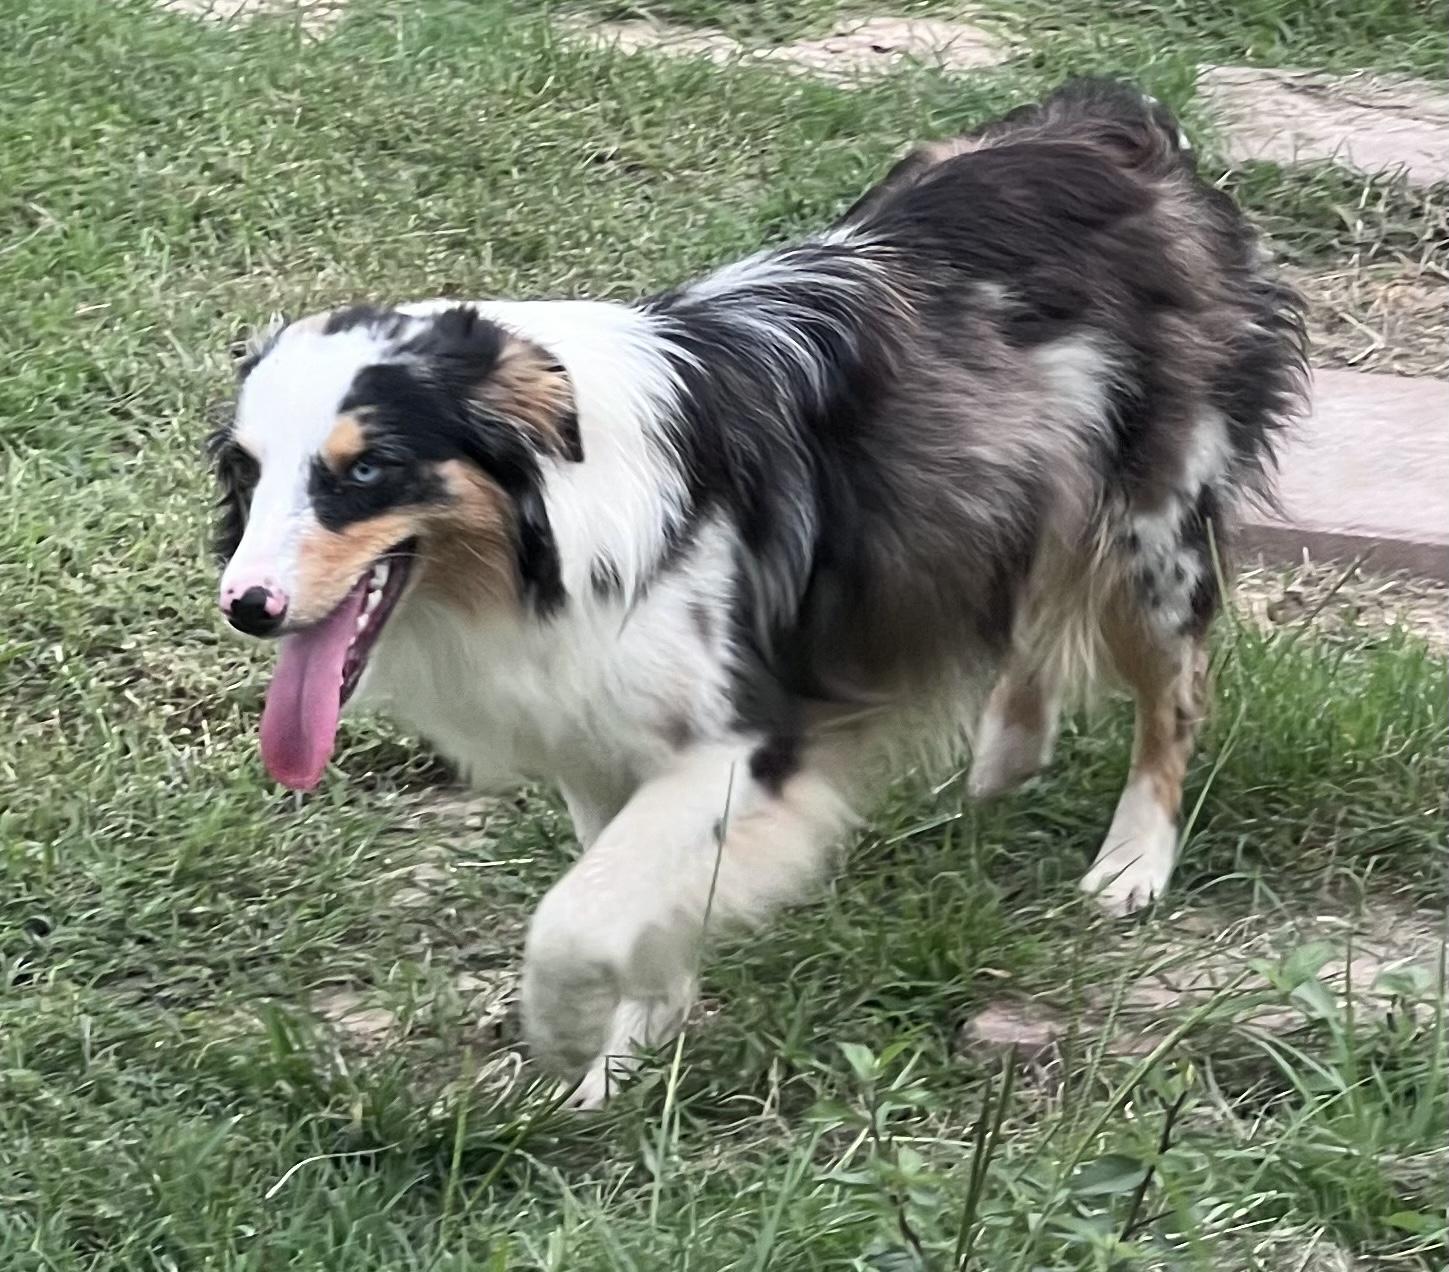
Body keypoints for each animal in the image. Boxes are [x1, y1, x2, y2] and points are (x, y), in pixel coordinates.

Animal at [212, 80, 1306, 1105]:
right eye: (246, 470)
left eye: (365, 470)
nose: (247, 607)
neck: (551, 520)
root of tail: (1115, 119)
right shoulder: (599, 733)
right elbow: (625, 896)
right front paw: (627, 1050)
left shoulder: (742, 739)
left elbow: (574, 915)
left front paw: (570, 1036)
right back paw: (1008, 754)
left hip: (1152, 535)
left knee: (1173, 698)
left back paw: (1132, 864)